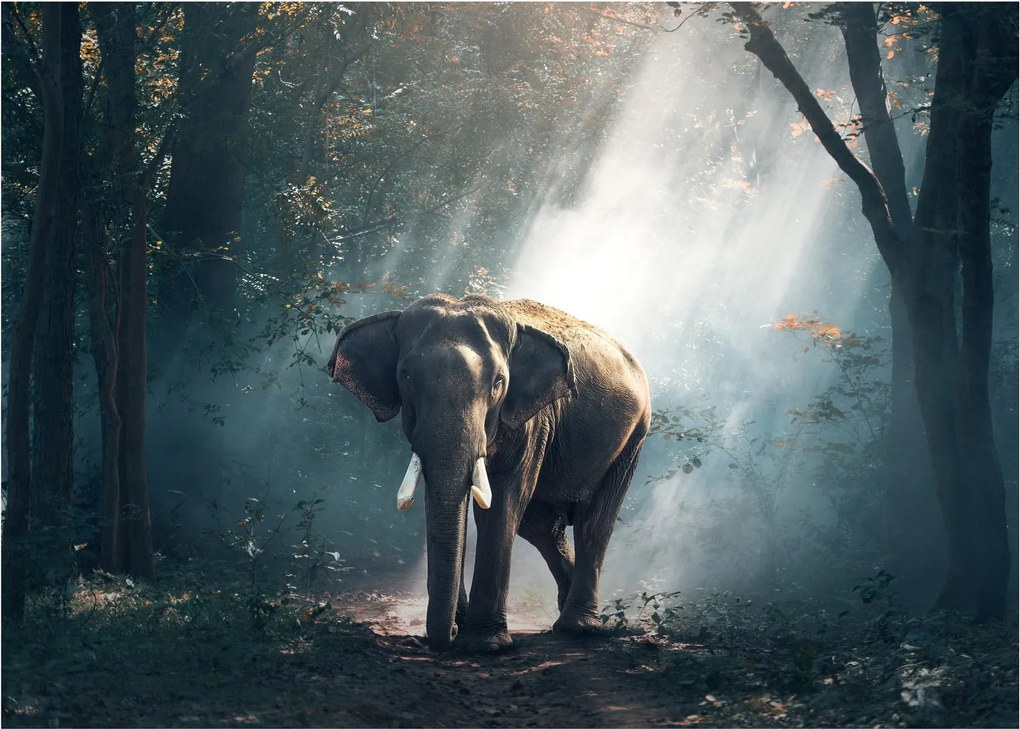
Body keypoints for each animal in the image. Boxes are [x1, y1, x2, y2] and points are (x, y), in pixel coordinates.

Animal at [327, 293, 650, 651]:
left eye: (498, 382)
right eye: (406, 376)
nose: (451, 633)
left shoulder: (532, 420)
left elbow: (502, 502)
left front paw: (484, 644)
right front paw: (463, 627)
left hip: (633, 437)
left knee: (594, 522)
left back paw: (578, 628)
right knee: (541, 526)